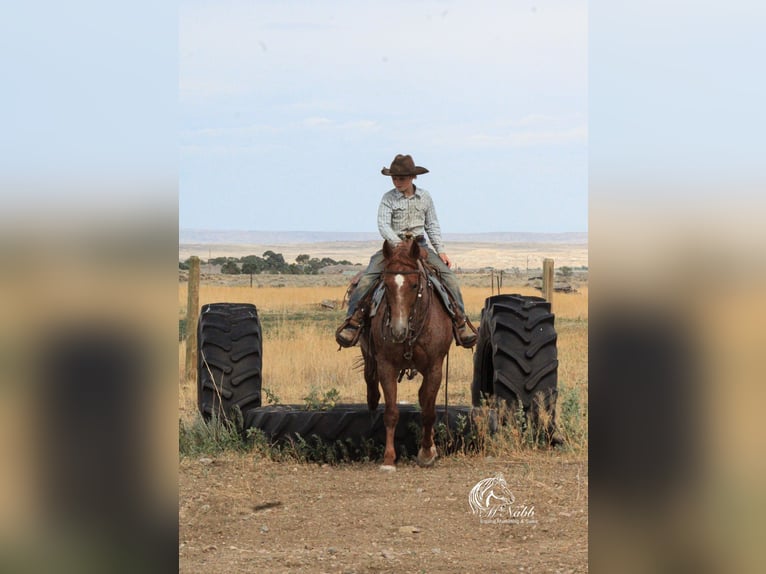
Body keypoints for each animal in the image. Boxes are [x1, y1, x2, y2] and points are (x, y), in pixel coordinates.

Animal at [360, 238, 456, 472]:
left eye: (414, 285)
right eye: (386, 285)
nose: (397, 330)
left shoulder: (434, 367)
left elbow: (429, 411)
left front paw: (426, 453)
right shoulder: (386, 366)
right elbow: (391, 412)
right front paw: (388, 459)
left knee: (423, 398)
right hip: (369, 356)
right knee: (371, 385)